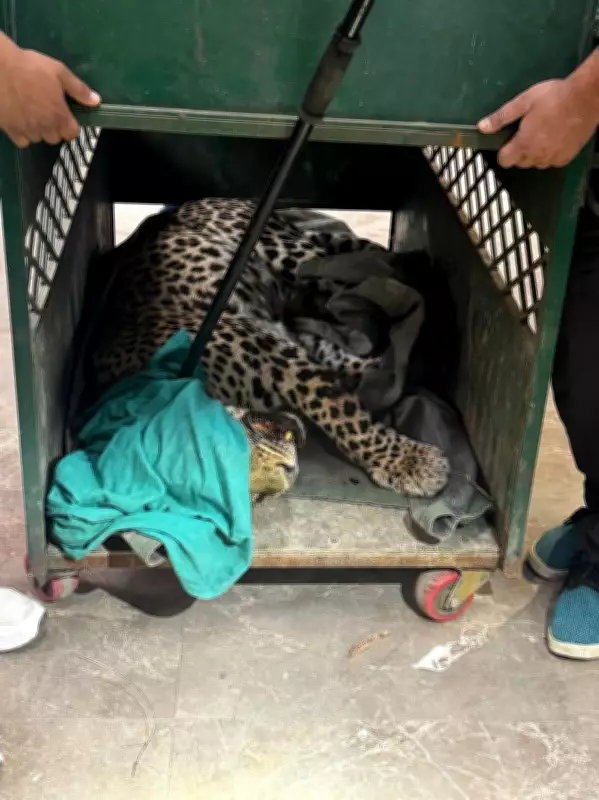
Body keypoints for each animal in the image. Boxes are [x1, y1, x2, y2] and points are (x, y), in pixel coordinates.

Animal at [92, 198, 449, 497]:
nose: (284, 476)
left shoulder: (278, 358)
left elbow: (339, 411)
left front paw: (409, 461)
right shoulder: (285, 343)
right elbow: (340, 371)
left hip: (285, 250)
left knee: (348, 267)